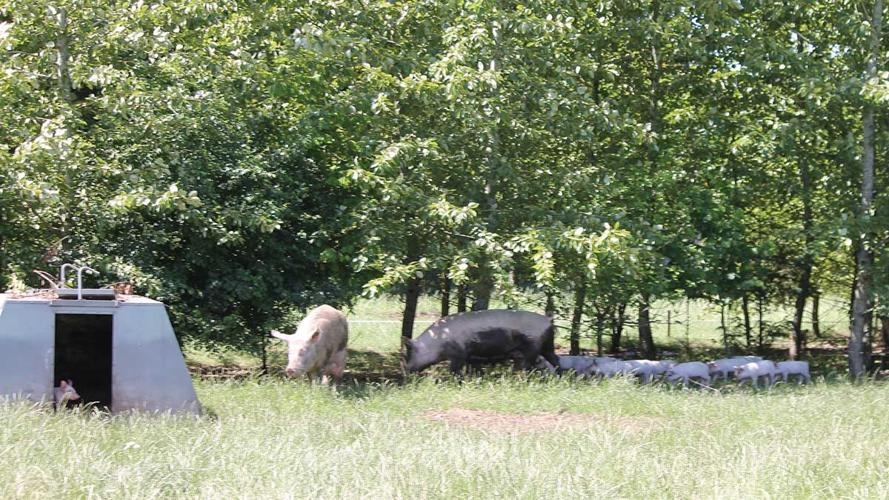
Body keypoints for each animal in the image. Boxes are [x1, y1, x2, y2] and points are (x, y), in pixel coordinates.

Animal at [403, 310, 559, 374]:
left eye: (410, 352)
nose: (405, 369)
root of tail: (547, 319)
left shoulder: (459, 354)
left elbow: (455, 370)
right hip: (547, 346)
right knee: (555, 361)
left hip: (532, 348)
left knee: (531, 366)